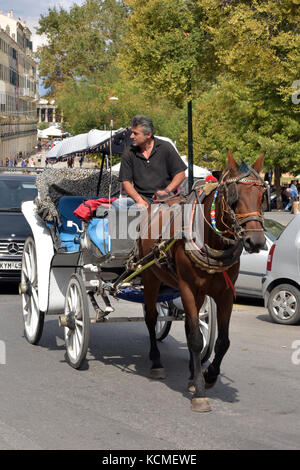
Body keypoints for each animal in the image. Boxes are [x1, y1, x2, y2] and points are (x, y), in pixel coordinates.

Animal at [139, 151, 266, 412]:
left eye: (261, 196)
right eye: (234, 197)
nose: (257, 242)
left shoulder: (225, 293)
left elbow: (221, 341)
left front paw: (208, 375)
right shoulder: (187, 288)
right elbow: (197, 339)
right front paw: (199, 389)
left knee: (189, 325)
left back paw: (190, 370)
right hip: (150, 277)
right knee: (152, 318)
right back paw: (156, 362)